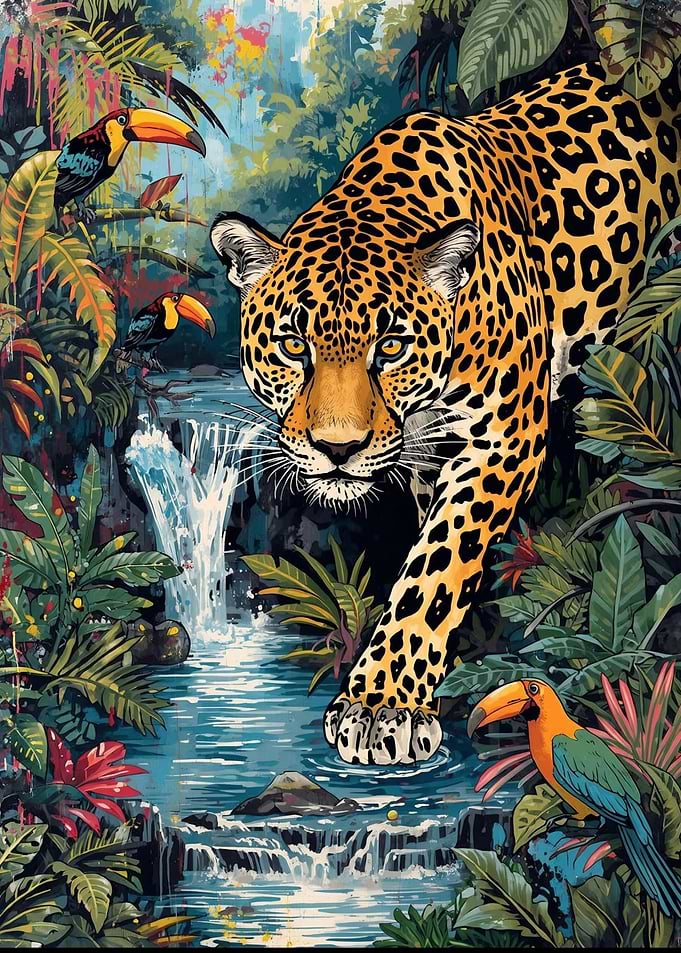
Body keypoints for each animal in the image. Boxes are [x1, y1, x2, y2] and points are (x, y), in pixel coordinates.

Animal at [210, 61, 681, 766]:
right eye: (294, 345)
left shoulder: (505, 441)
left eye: (391, 347)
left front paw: (382, 704)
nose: (337, 450)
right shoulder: (430, 457)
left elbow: (434, 572)